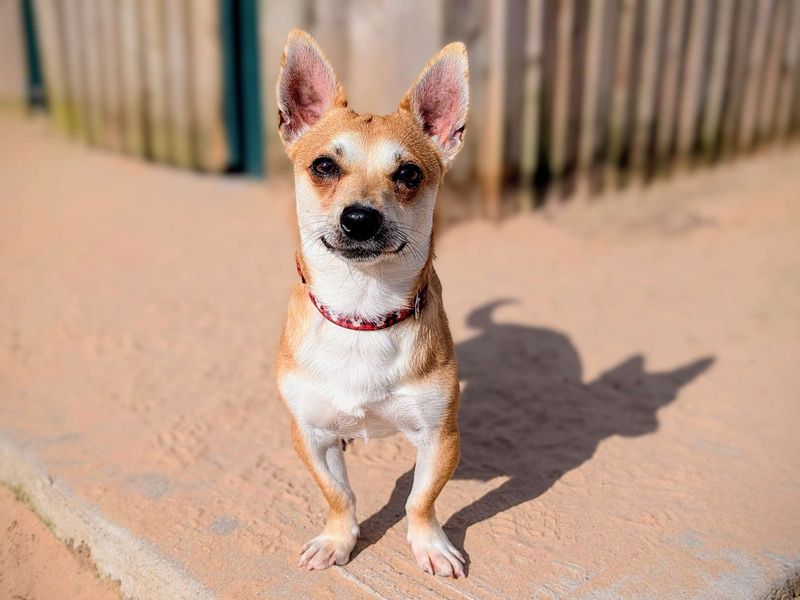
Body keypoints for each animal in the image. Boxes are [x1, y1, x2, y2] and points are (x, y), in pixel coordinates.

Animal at [276, 29, 468, 580]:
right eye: (323, 166)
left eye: (408, 174)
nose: (360, 217)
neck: (363, 313)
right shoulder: (309, 434)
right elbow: (339, 494)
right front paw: (337, 540)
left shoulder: (440, 438)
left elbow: (419, 501)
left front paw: (430, 545)